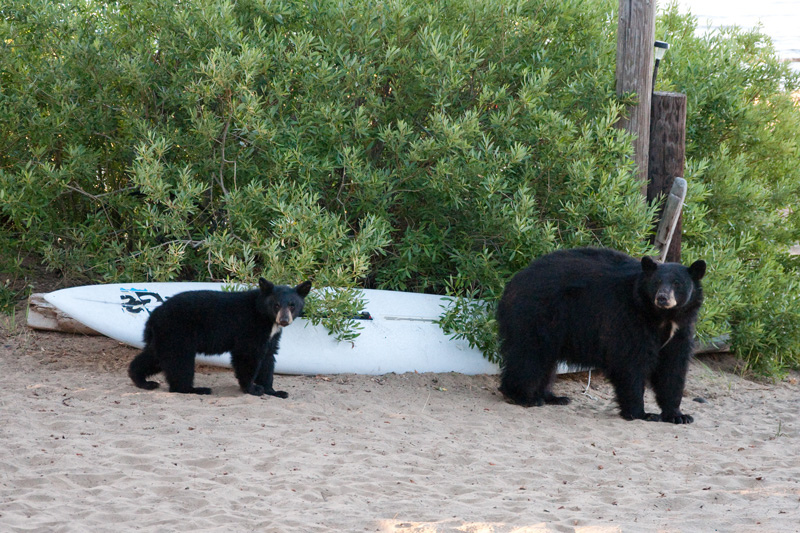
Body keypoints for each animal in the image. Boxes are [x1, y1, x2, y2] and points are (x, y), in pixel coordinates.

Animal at [127, 278, 310, 394]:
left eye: (292, 305)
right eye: (276, 305)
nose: (284, 320)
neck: (265, 316)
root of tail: (154, 316)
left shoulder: (271, 335)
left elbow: (268, 357)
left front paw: (274, 391)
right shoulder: (250, 327)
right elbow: (247, 354)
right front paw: (252, 388)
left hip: (163, 336)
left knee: (154, 357)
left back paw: (142, 380)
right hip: (177, 332)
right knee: (179, 361)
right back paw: (194, 389)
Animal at [500, 246, 708, 424]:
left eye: (677, 283)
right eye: (656, 282)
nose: (662, 298)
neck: (663, 317)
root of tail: (512, 282)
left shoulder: (681, 330)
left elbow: (673, 367)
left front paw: (678, 415)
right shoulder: (629, 318)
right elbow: (630, 361)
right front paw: (642, 413)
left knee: (545, 360)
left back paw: (553, 397)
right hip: (537, 314)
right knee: (529, 356)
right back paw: (523, 396)